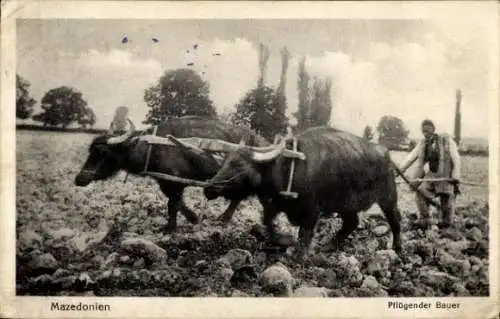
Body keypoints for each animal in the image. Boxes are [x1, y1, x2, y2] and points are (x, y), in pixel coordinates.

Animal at [74, 116, 270, 234]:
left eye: (103, 153)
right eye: (90, 150)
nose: (79, 179)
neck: (153, 147)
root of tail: (262, 142)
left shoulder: (174, 183)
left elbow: (174, 203)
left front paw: (188, 220)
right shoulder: (166, 182)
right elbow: (173, 203)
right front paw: (177, 224)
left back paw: (226, 218)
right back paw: (225, 217)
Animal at [203, 126, 402, 262]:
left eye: (238, 165)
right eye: (225, 161)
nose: (209, 189)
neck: (285, 167)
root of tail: (386, 153)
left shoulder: (312, 210)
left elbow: (304, 234)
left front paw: (299, 256)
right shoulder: (274, 204)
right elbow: (267, 221)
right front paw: (282, 239)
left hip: (388, 197)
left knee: (395, 220)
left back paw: (397, 249)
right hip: (347, 205)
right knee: (351, 223)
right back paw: (329, 245)